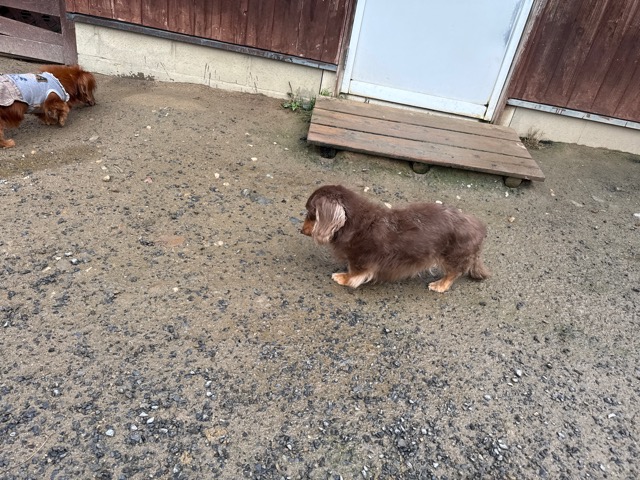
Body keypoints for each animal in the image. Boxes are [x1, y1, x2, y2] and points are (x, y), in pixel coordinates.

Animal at [301, 185, 490, 292]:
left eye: (311, 214)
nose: (301, 230)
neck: (353, 224)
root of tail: (479, 228)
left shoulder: (361, 258)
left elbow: (355, 273)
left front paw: (343, 277)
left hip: (452, 256)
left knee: (454, 273)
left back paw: (439, 285)